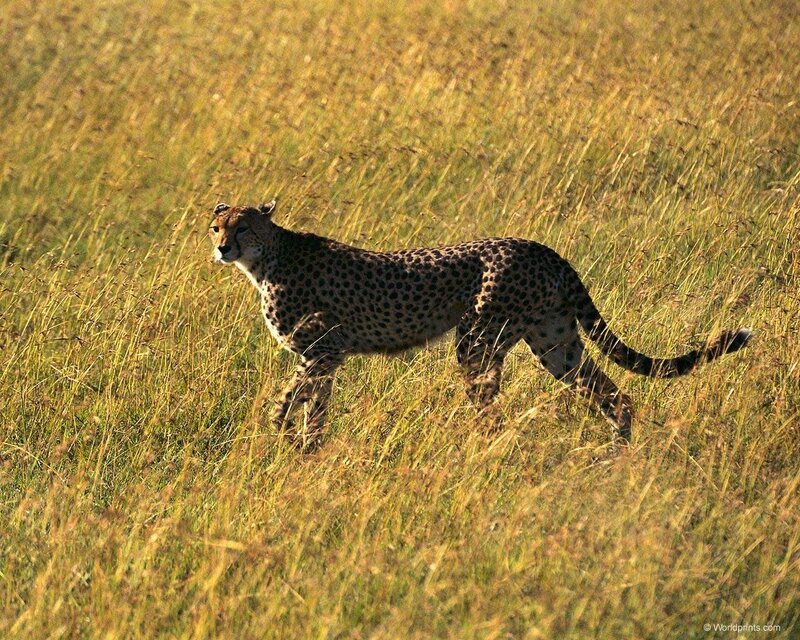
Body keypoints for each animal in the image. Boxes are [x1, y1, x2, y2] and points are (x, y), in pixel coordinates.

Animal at [208, 201, 752, 450]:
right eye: (217, 226)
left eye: (244, 227)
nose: (221, 248)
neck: (267, 259)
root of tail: (541, 247)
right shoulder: (325, 356)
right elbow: (312, 405)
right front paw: (306, 448)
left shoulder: (326, 347)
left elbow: (292, 393)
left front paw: (282, 433)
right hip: (555, 343)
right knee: (615, 394)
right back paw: (616, 452)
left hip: (479, 340)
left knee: (492, 410)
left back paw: (477, 452)